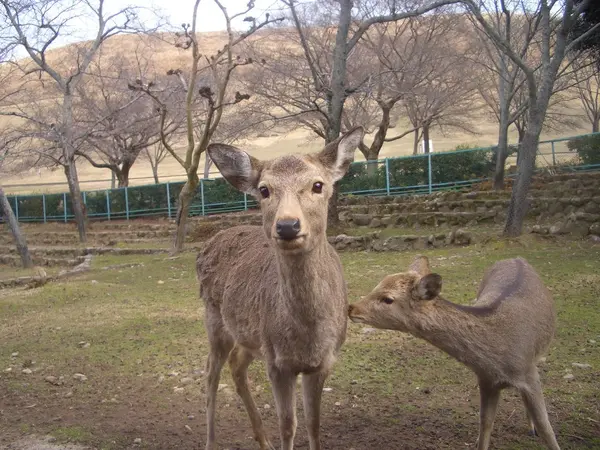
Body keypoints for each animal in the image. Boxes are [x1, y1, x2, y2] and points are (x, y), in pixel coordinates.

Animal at [199, 127, 364, 450]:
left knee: (236, 365)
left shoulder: (324, 361)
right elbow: (288, 425)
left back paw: (263, 441)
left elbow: (313, 424)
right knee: (211, 372)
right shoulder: (277, 363)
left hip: (250, 336)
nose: (288, 226)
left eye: (317, 185)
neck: (306, 337)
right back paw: (211, 441)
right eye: (264, 190)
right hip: (215, 320)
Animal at [350, 256, 560, 450]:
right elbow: (485, 423)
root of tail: (517, 258)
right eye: (377, 285)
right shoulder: (486, 379)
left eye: (388, 299)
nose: (351, 307)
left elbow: (546, 427)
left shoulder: (528, 372)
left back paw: (531, 427)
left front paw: (543, 433)